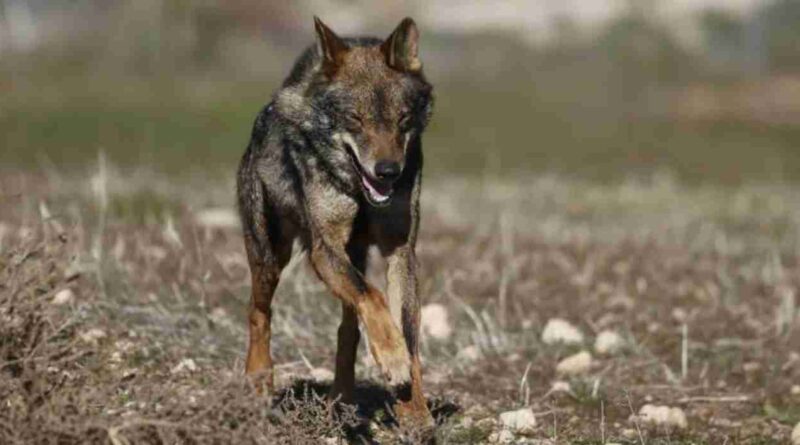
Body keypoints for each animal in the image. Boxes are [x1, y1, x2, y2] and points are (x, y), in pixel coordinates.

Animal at [236, 17, 434, 424]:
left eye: (403, 119)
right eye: (355, 119)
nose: (388, 172)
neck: (358, 191)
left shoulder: (400, 252)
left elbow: (407, 335)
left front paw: (415, 409)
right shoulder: (323, 249)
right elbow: (371, 296)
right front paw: (392, 360)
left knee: (348, 328)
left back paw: (341, 400)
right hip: (270, 257)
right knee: (258, 313)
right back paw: (259, 381)